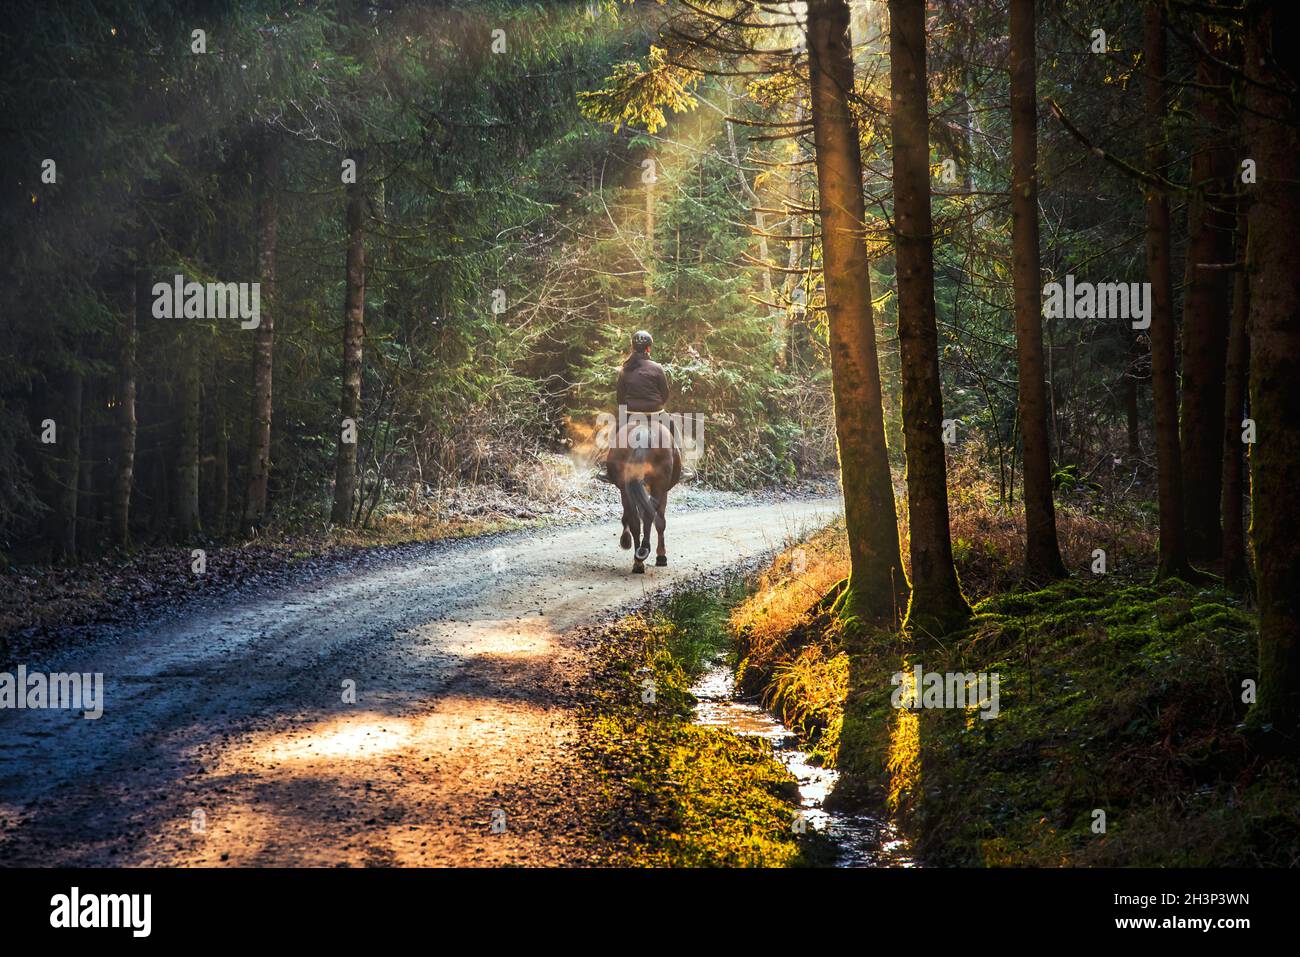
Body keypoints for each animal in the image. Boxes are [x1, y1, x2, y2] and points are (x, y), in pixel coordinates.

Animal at [606, 416, 682, 573]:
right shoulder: (662, 491)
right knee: (651, 517)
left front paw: (625, 539)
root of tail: (643, 434)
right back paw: (645, 553)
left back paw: (638, 561)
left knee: (635, 519)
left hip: (626, 487)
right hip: (658, 486)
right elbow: (660, 521)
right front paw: (661, 557)